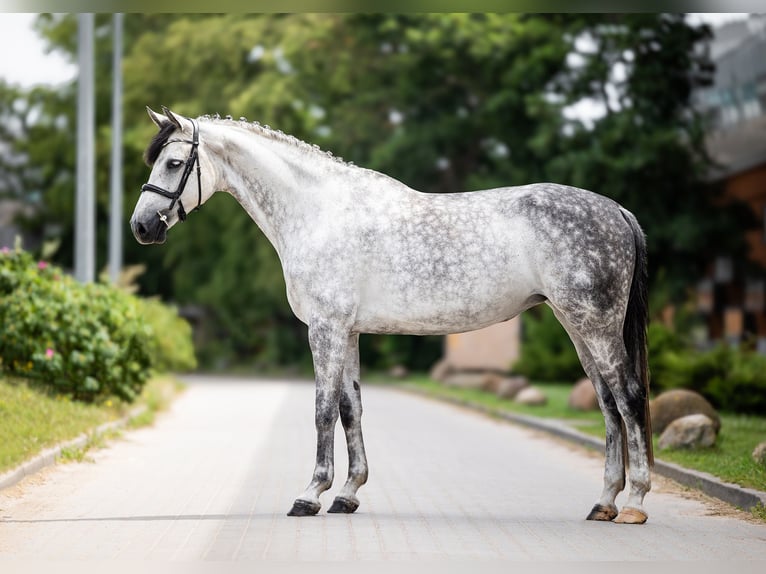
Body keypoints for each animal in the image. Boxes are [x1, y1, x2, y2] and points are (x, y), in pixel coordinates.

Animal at [130, 108, 656, 528]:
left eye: (173, 163)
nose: (141, 227)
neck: (318, 212)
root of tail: (616, 210)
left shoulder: (326, 328)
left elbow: (322, 409)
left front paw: (310, 494)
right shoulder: (349, 332)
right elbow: (351, 409)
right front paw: (347, 494)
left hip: (595, 324)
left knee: (628, 397)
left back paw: (634, 502)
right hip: (577, 326)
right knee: (607, 402)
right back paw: (604, 503)